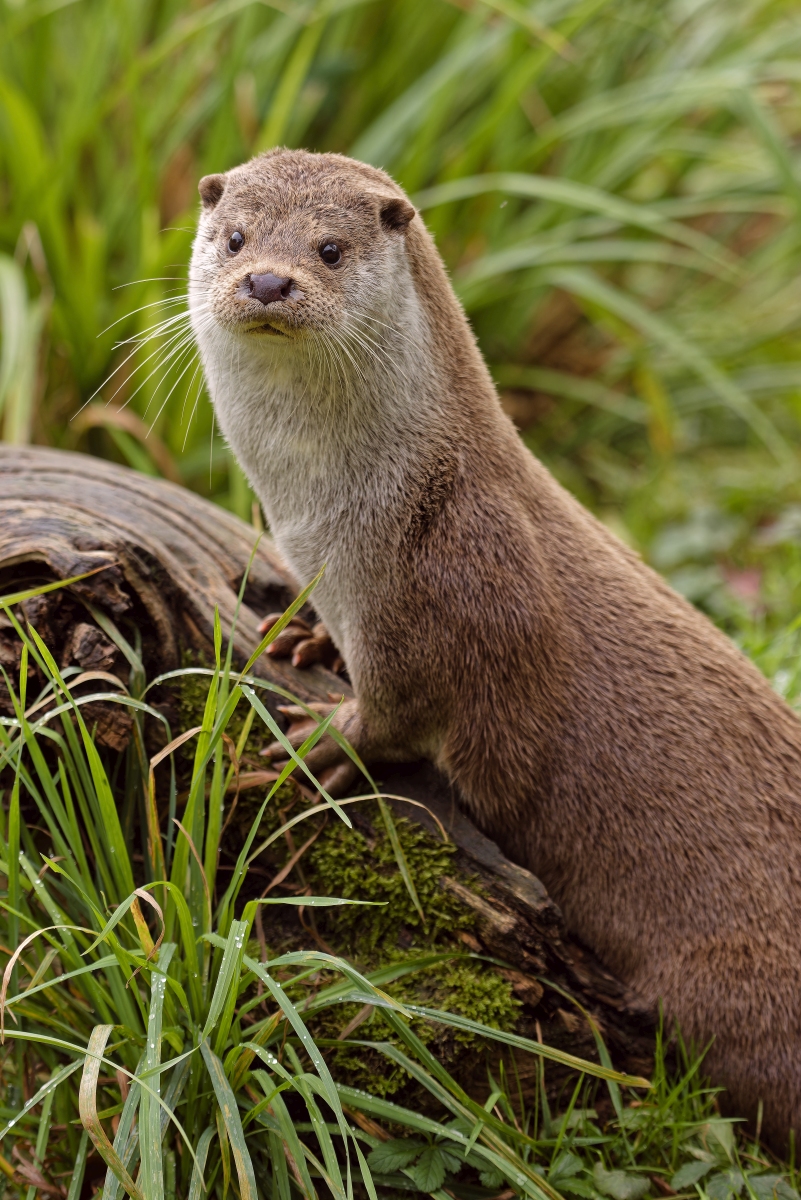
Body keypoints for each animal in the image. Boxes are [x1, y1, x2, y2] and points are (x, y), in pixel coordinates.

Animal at [190, 148, 801, 1148]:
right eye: (235, 236)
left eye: (329, 248)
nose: (268, 280)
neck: (347, 518)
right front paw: (308, 640)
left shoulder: (459, 577)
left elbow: (402, 715)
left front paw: (307, 744)